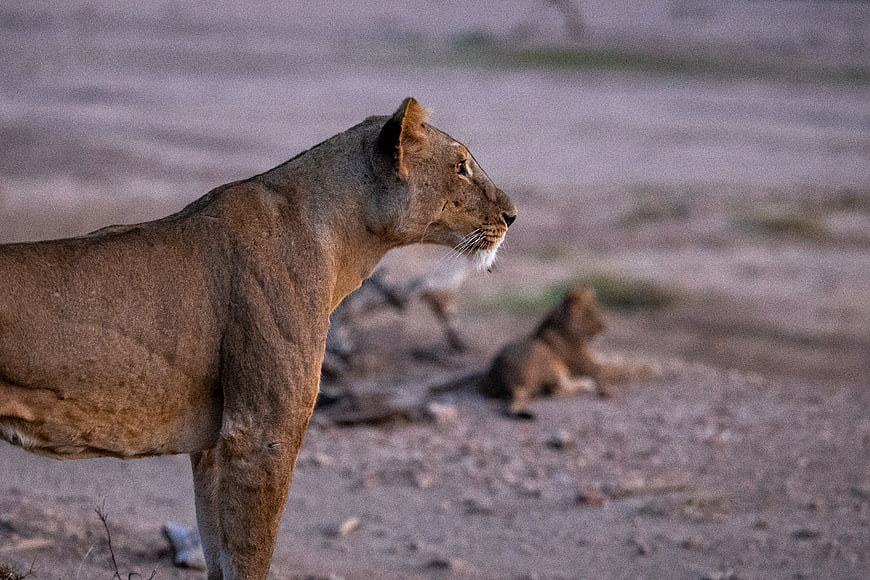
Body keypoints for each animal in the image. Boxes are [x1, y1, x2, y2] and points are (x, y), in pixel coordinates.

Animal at [0, 98, 516, 579]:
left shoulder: (213, 445)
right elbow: (252, 555)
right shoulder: (261, 431)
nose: (512, 215)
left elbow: (219, 554)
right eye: (461, 166)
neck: (342, 240)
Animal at [480, 285, 651, 419]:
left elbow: (619, 359)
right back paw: (587, 383)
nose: (604, 328)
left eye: (596, 310)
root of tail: (511, 383)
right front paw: (650, 369)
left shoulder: (596, 359)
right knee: (556, 390)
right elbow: (623, 368)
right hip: (547, 357)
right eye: (589, 313)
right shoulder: (594, 369)